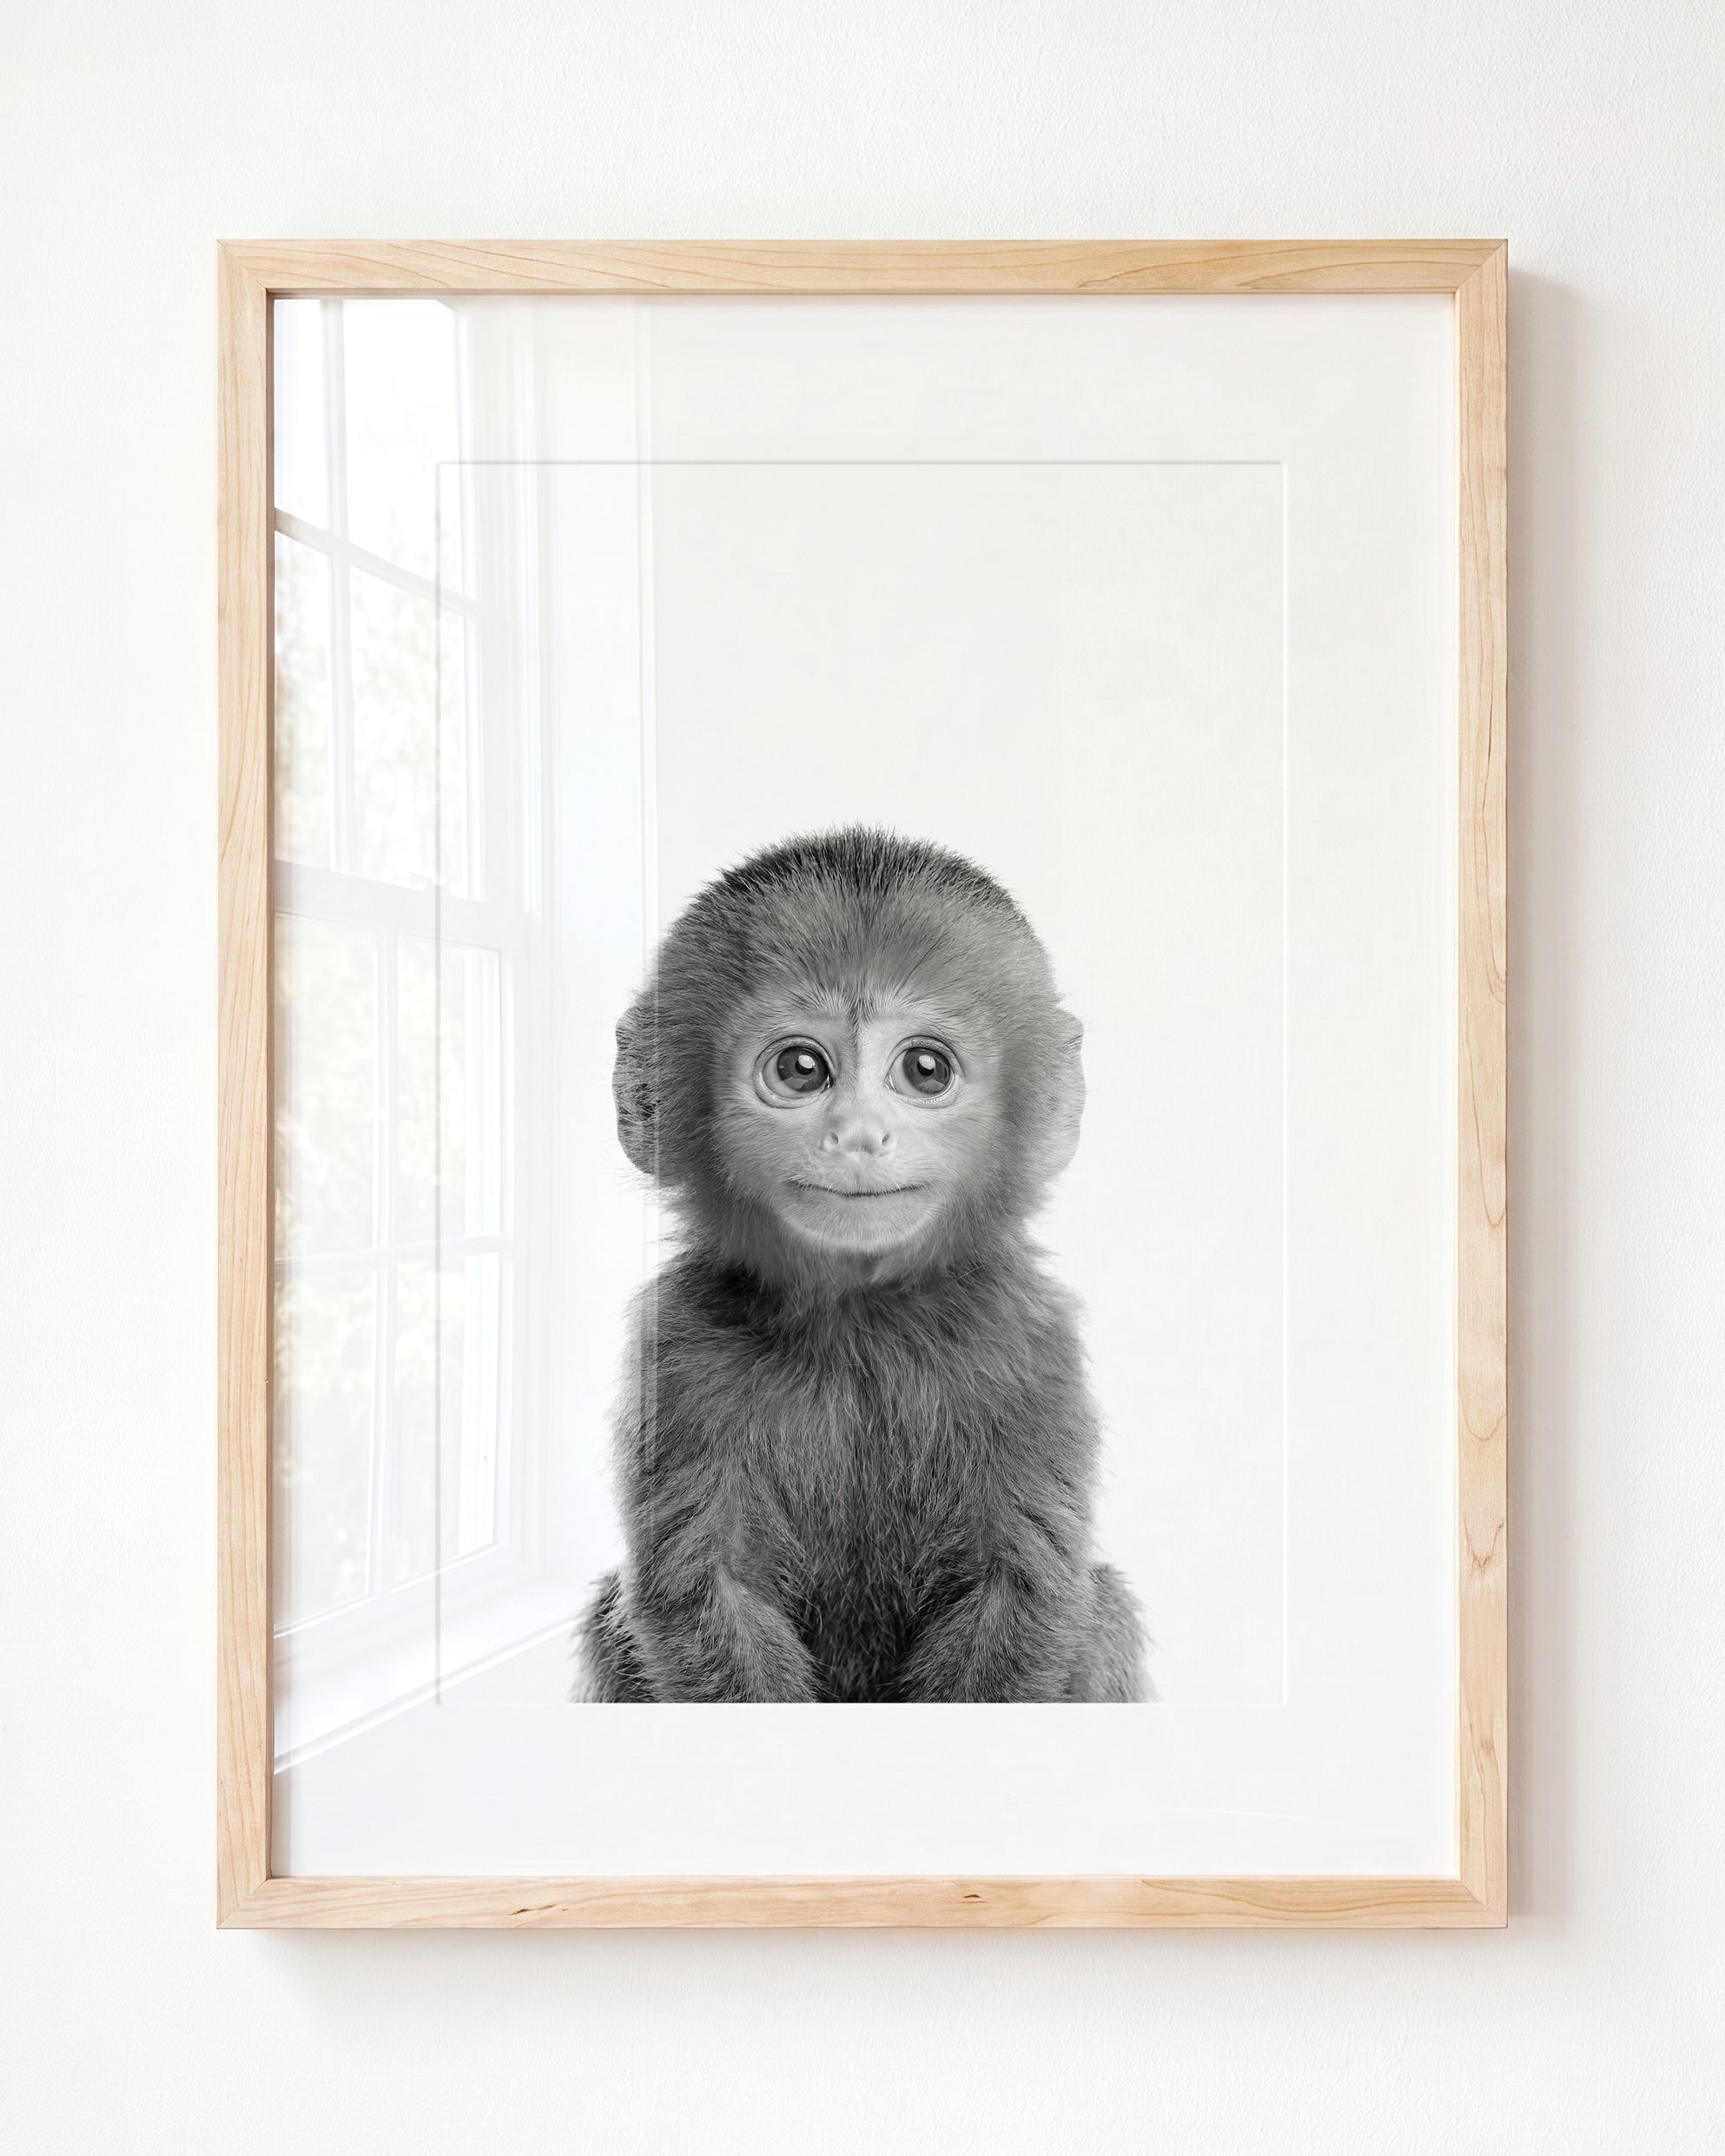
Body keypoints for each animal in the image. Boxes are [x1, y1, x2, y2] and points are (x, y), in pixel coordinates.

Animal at [573, 826, 1144, 1703]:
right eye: (801, 1069)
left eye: (925, 1069)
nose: (859, 1135)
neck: (861, 1325)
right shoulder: (676, 1352)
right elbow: (704, 1593)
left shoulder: (1030, 1342)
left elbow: (1020, 1590)